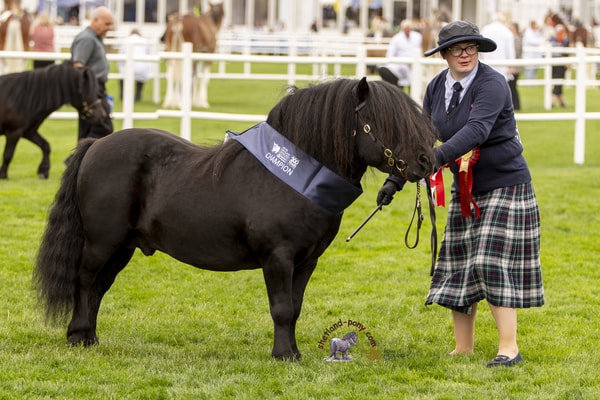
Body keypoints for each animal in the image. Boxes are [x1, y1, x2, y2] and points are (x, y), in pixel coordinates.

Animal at [34, 76, 436, 360]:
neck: (294, 179)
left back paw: (90, 337)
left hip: (123, 247)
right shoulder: (278, 258)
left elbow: (295, 307)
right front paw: (284, 355)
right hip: (101, 242)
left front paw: (293, 351)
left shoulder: (307, 261)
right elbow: (282, 308)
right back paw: (77, 336)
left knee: (99, 288)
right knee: (85, 282)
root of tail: (94, 146)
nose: (426, 161)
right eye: (382, 122)